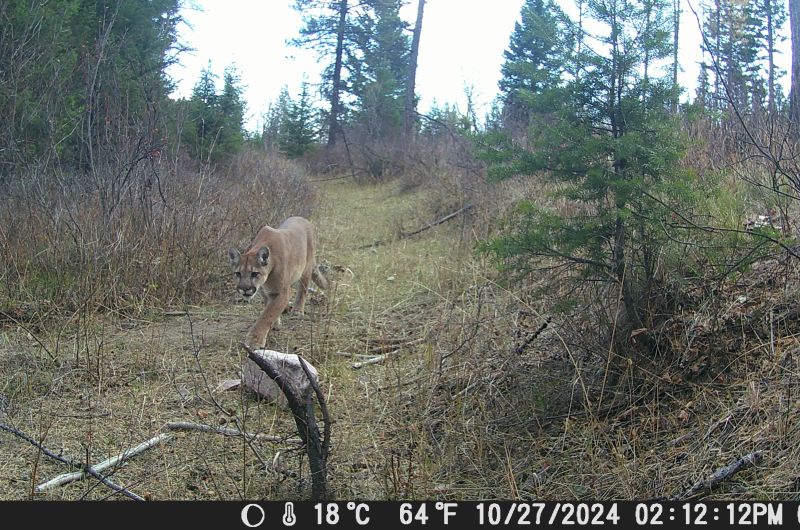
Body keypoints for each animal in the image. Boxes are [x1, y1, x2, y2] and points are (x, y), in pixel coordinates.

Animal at [228, 216, 328, 349]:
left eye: (254, 273)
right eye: (238, 273)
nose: (244, 289)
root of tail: (303, 219)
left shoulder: (282, 292)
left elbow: (267, 314)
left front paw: (254, 340)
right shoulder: (265, 291)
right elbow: (269, 307)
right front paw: (275, 324)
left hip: (306, 268)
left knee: (303, 289)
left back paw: (297, 311)